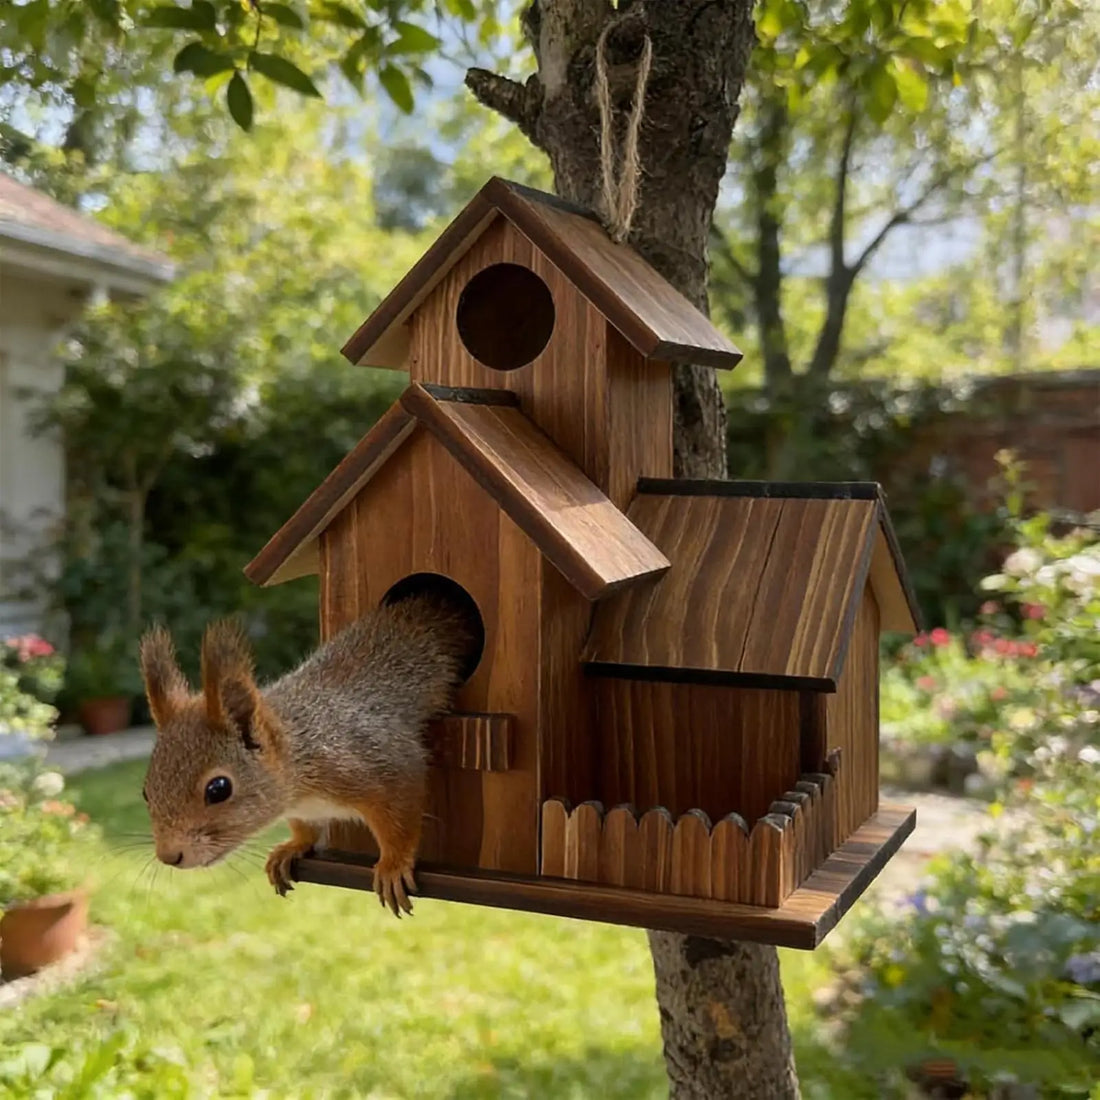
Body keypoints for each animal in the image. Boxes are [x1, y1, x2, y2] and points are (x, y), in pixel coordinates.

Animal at [137, 592, 477, 916]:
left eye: (218, 789)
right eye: (145, 793)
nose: (169, 856)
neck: (301, 763)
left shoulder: (381, 762)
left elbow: (401, 819)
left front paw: (393, 864)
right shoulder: (304, 808)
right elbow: (305, 828)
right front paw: (293, 847)